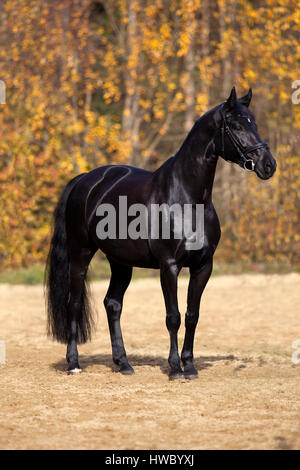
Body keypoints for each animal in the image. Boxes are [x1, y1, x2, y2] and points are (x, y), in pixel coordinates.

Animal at [46, 87, 276, 378]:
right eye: (235, 126)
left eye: (254, 123)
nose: (268, 165)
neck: (187, 198)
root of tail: (85, 180)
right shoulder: (169, 266)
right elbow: (173, 317)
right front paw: (175, 368)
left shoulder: (203, 266)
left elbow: (192, 315)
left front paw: (190, 366)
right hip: (80, 254)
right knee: (74, 304)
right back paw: (74, 364)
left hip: (120, 262)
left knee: (113, 304)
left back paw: (124, 364)